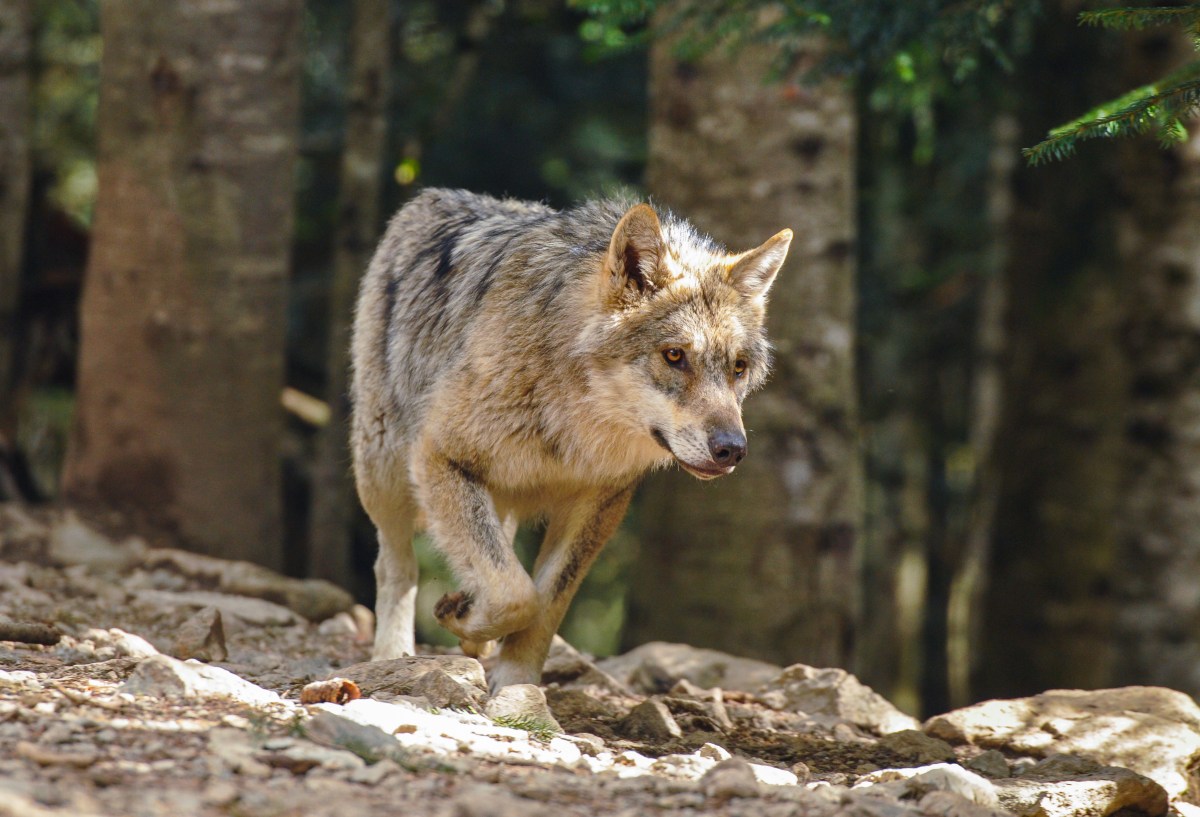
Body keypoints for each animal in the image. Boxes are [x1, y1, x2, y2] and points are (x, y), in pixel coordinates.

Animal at [350, 188, 791, 691]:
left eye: (738, 367)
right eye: (675, 356)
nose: (732, 449)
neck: (576, 422)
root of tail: (433, 196)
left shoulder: (598, 505)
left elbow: (543, 605)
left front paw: (516, 686)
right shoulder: (440, 456)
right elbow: (516, 595)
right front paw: (461, 618)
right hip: (385, 473)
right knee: (396, 566)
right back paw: (393, 655)